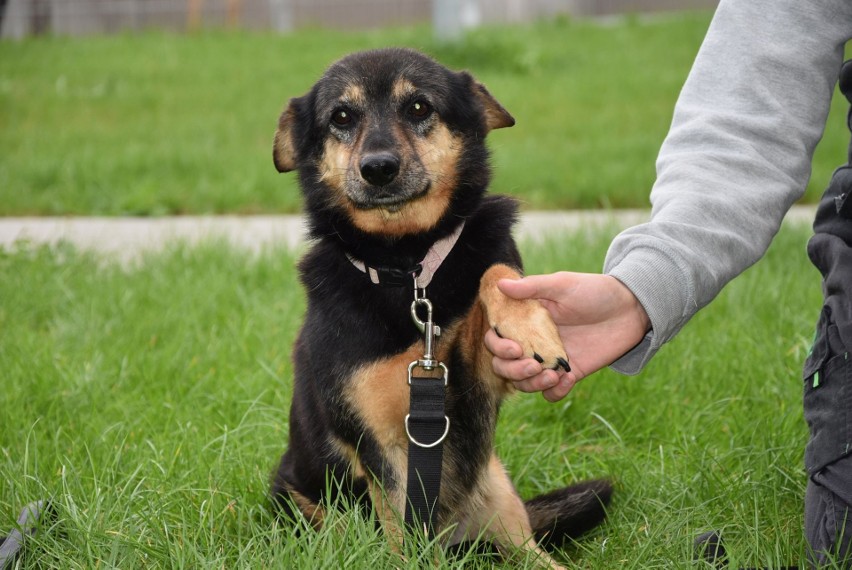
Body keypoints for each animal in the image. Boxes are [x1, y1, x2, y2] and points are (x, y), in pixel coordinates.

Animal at [270, 48, 608, 564]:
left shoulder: (480, 377)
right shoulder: (381, 443)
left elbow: (494, 272)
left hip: (496, 488)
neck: (406, 266)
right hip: (297, 497)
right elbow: (405, 533)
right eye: (341, 117)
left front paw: (531, 327)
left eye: (418, 107)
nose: (378, 168)